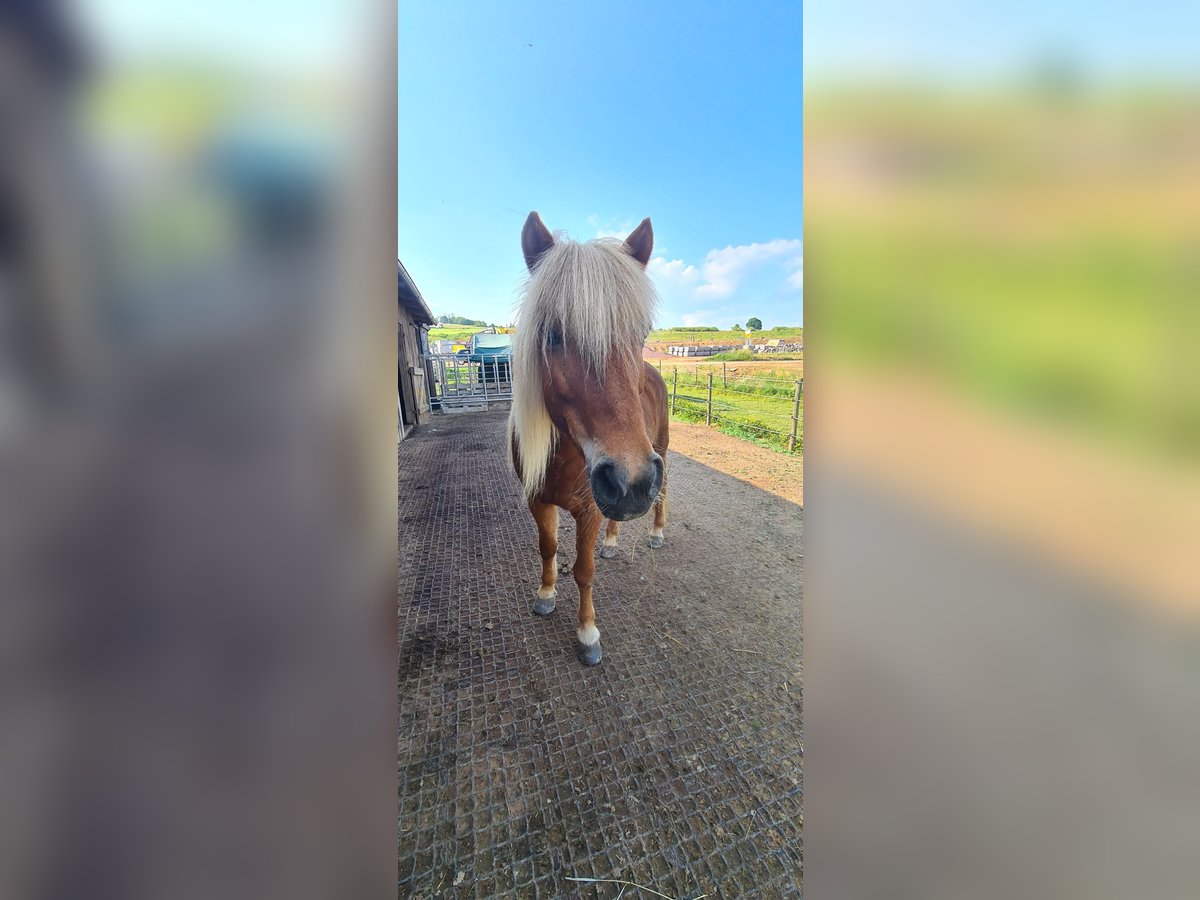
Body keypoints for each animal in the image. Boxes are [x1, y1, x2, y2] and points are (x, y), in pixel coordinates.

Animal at [508, 211, 670, 666]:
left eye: (642, 333)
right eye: (553, 334)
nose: (631, 480)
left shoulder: (590, 511)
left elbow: (584, 571)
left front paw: (587, 633)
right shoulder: (539, 500)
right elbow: (547, 548)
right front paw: (545, 595)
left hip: (660, 452)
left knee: (664, 493)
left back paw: (656, 533)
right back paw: (614, 541)